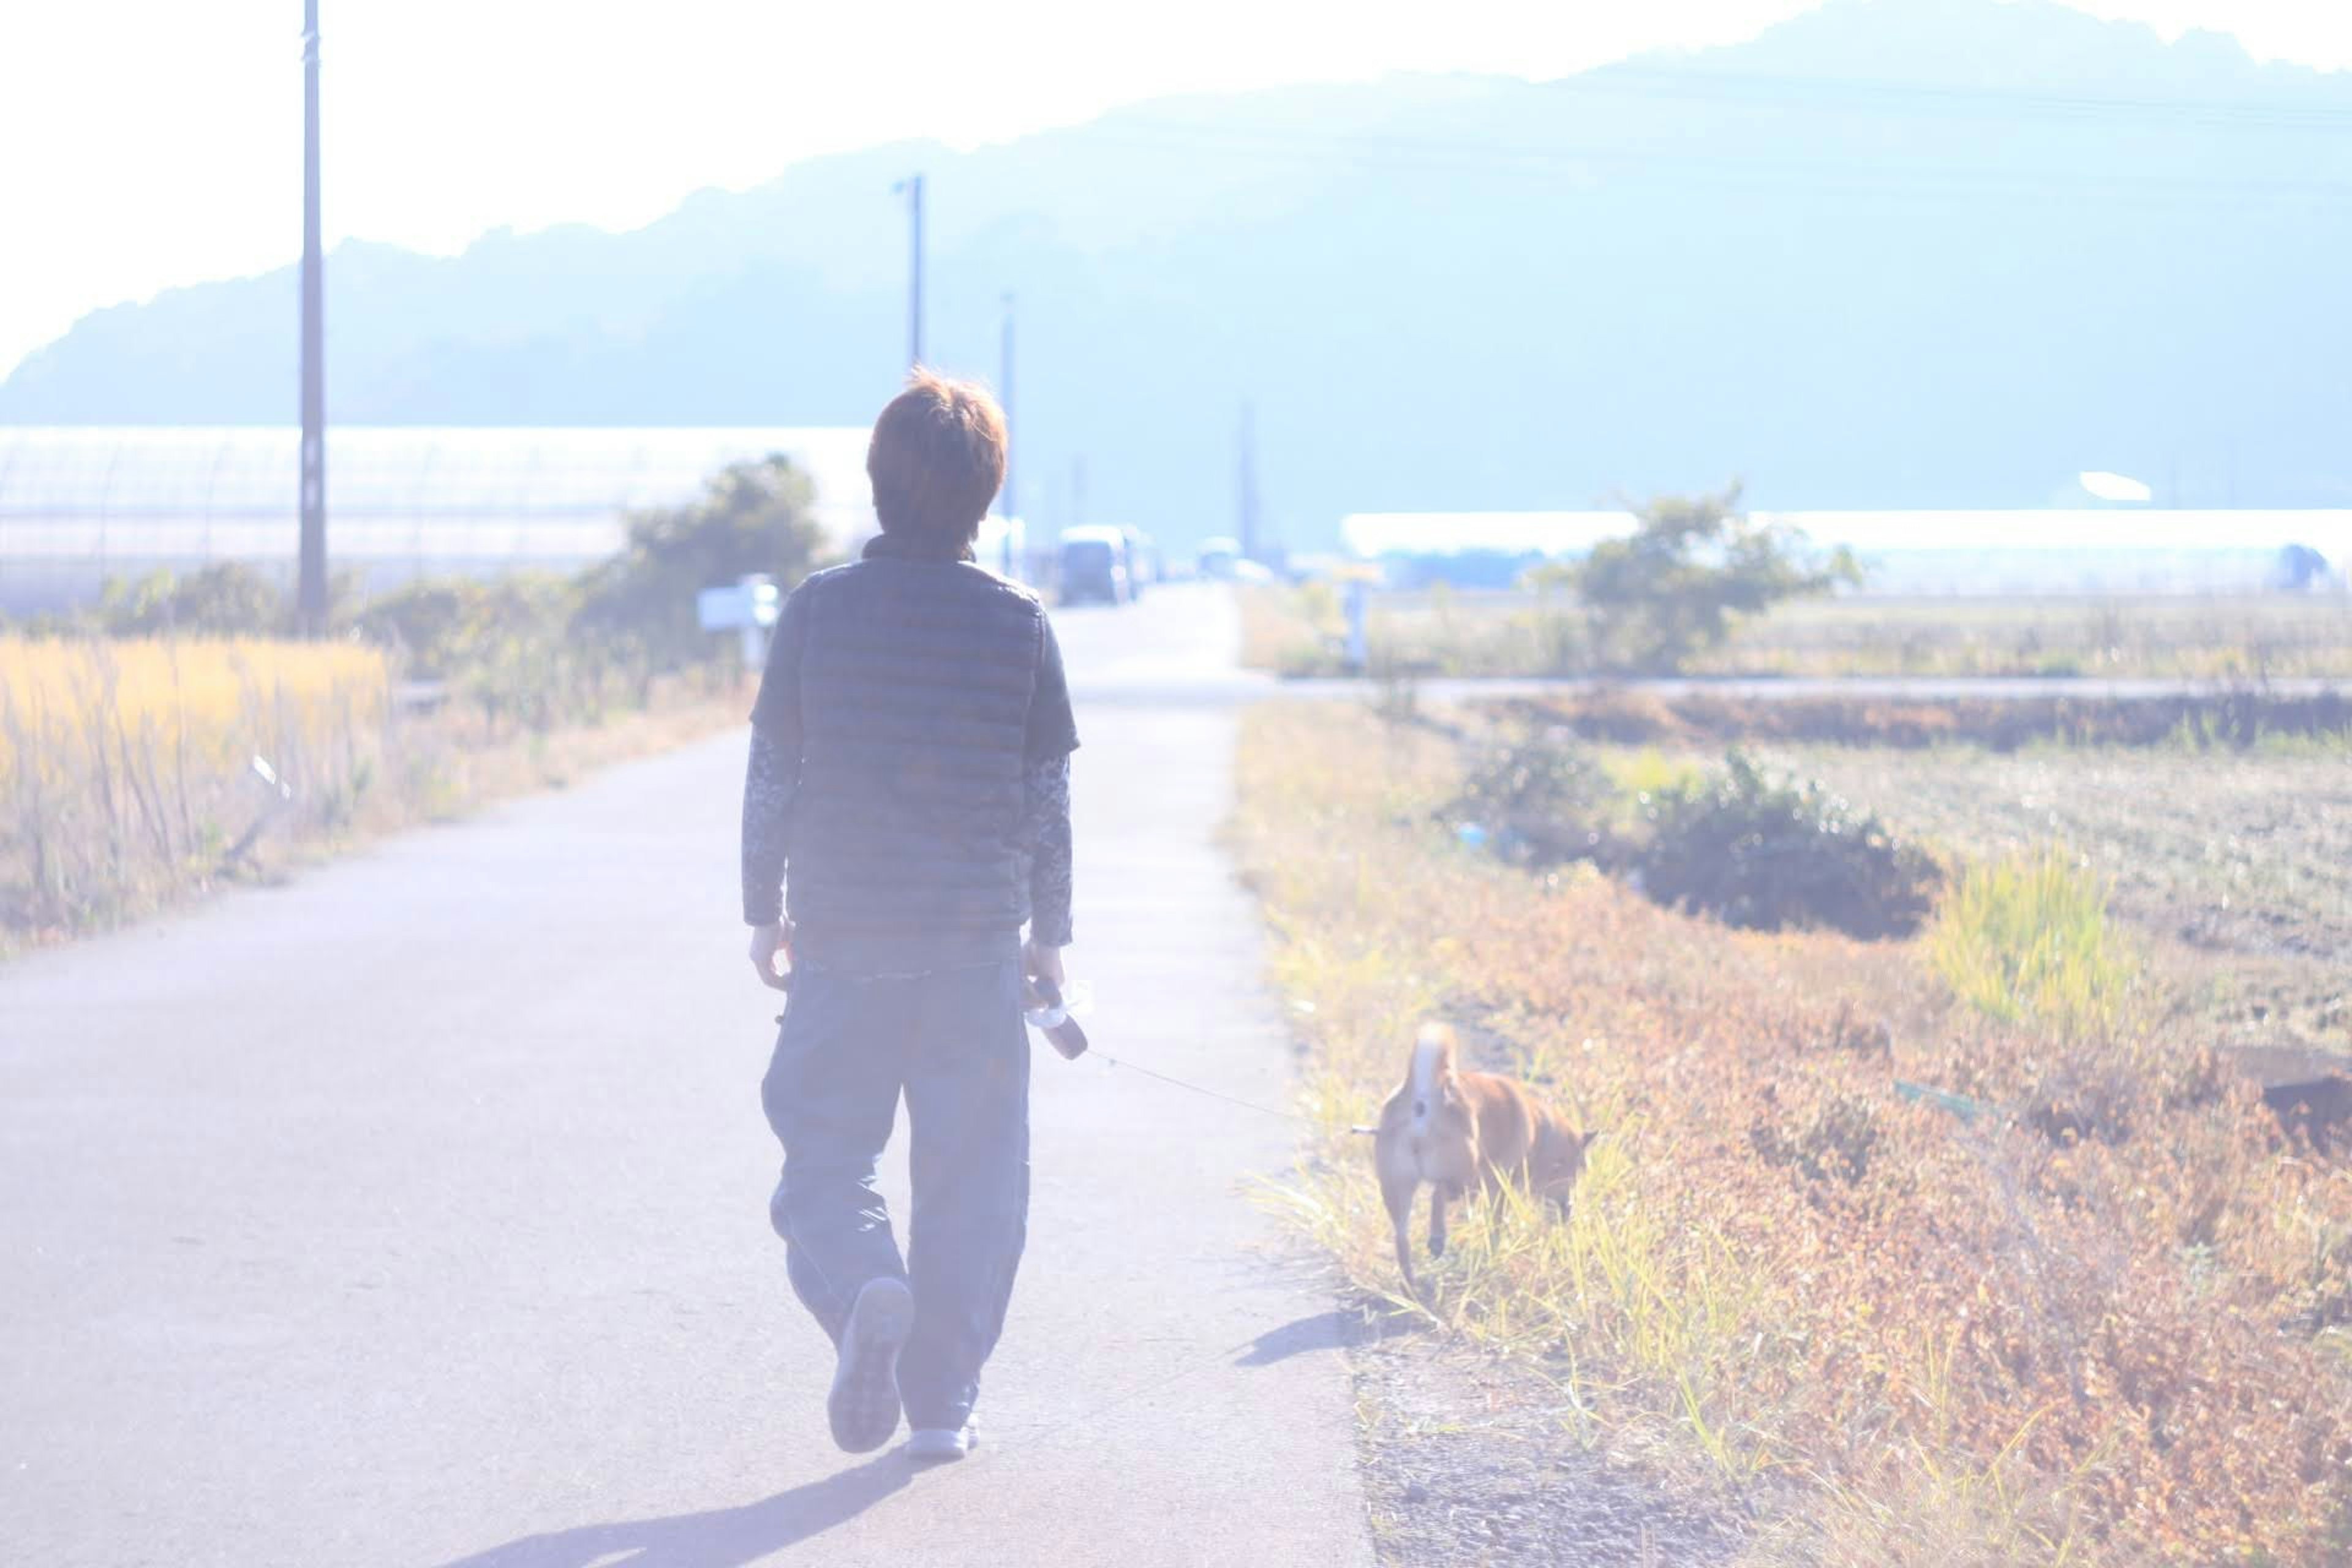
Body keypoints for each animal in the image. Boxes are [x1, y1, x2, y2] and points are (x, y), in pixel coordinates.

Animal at [1373, 1025, 1599, 1297]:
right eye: (1574, 1173)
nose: (1569, 1211)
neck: (1539, 1129)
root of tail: (1424, 1096)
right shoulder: (1496, 1186)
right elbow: (1496, 1226)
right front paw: (1494, 1251)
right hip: (1463, 1172)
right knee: (1439, 1194)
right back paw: (1437, 1240)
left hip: (1397, 1189)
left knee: (1402, 1238)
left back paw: (1411, 1286)